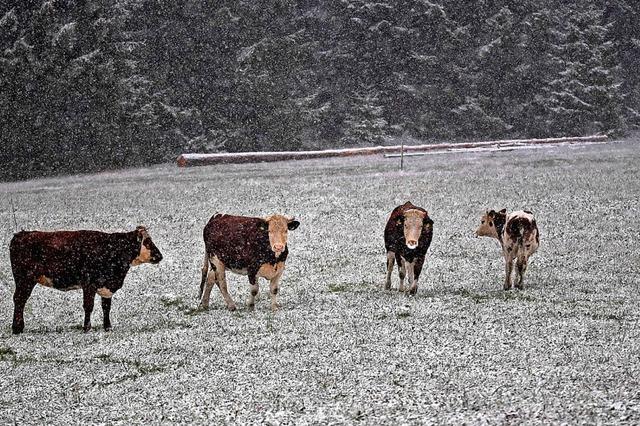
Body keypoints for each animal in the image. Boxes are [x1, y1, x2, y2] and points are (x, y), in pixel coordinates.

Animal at [9, 225, 162, 334]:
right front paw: (87, 328)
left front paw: (107, 327)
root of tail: (22, 234)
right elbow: (89, 306)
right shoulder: (89, 284)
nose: (160, 256)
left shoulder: (106, 287)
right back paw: (17, 328)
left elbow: (106, 307)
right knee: (19, 299)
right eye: (148, 242)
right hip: (25, 279)